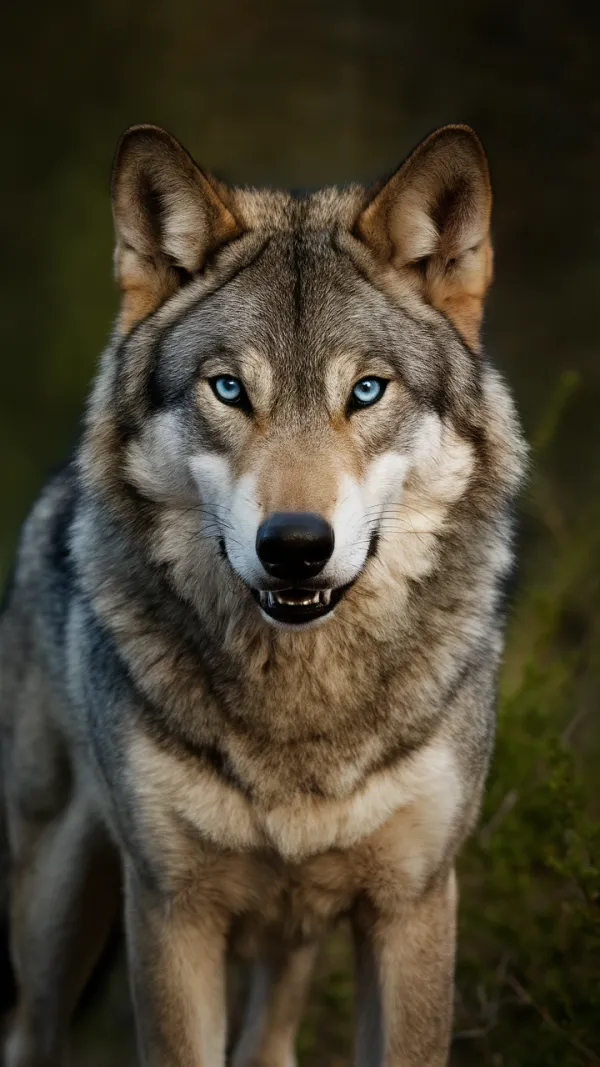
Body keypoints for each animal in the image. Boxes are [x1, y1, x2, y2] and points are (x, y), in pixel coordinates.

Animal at [0, 122, 525, 1067]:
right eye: (230, 389)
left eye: (366, 390)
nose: (295, 546)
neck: (300, 715)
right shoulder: (172, 911)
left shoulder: (414, 906)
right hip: (59, 907)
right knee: (29, 1027)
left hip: (290, 940)